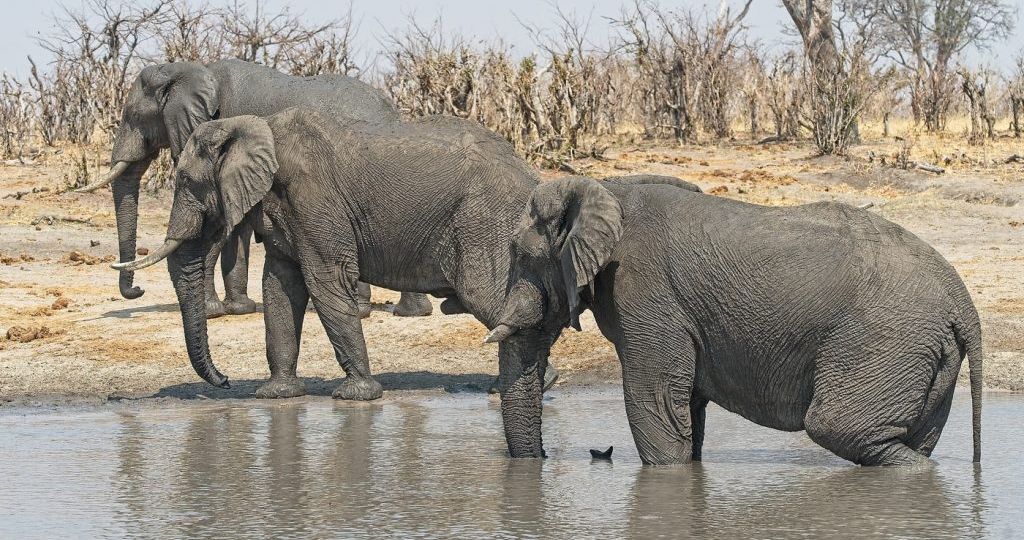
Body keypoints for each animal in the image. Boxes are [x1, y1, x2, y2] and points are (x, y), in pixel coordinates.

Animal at [77, 58, 432, 319]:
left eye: (133, 116)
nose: (137, 291)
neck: (187, 69)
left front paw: (211, 313)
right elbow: (234, 225)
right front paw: (239, 309)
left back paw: (364, 311)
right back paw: (409, 313)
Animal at [488, 176, 983, 466]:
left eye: (520, 255)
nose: (543, 459)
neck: (603, 189)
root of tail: (964, 303)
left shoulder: (645, 293)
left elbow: (656, 402)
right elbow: (685, 404)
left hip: (885, 339)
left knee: (841, 428)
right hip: (926, 352)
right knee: (911, 440)